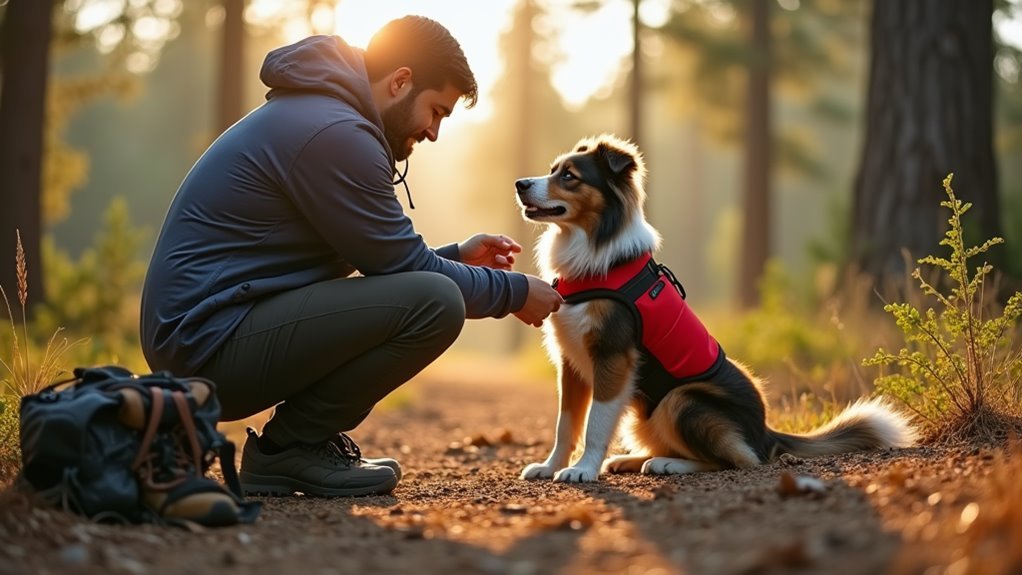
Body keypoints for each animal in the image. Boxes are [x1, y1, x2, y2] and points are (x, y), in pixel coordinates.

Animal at [515, 133, 915, 482]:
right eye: (553, 169)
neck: (595, 251)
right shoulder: (571, 361)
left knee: (737, 459)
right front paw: (550, 466)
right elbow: (566, 422)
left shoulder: (612, 356)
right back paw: (634, 459)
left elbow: (596, 422)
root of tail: (766, 432)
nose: (520, 184)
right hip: (648, 414)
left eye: (569, 176)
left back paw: (665, 464)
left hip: (682, 399)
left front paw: (583, 469)